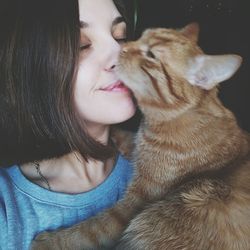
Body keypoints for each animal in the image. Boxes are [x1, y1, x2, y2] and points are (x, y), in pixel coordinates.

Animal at [31, 23, 250, 250]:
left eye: (151, 55)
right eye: (140, 37)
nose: (122, 48)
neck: (159, 121)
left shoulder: (133, 204)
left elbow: (89, 230)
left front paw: (49, 241)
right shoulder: (138, 146)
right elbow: (126, 138)